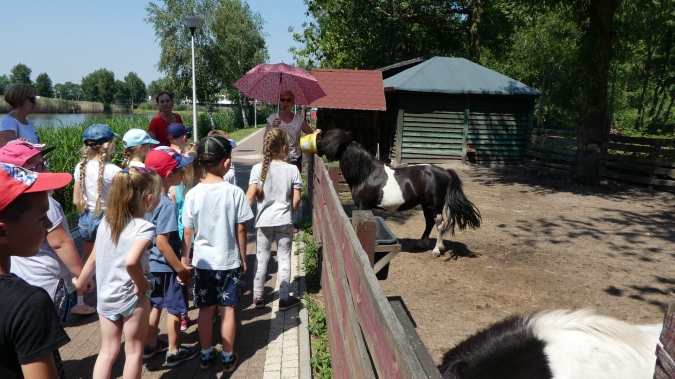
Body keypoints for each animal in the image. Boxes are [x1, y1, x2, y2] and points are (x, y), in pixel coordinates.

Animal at [316, 129, 480, 256]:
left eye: (331, 140)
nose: (316, 144)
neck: (367, 174)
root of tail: (446, 172)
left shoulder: (363, 206)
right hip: (426, 205)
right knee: (429, 222)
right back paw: (422, 244)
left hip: (435, 206)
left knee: (440, 225)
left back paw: (436, 250)